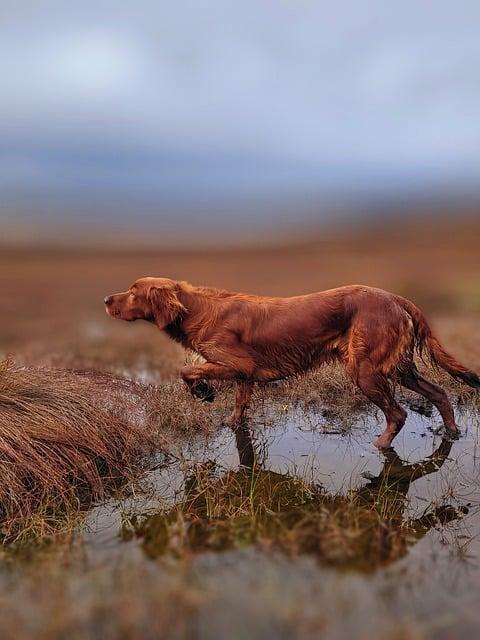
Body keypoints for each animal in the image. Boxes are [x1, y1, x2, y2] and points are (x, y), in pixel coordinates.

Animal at [103, 278, 478, 450]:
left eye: (134, 292)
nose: (106, 299)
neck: (198, 310)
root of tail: (396, 298)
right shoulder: (244, 375)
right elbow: (239, 406)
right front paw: (227, 416)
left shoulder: (236, 362)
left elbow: (187, 370)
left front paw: (203, 391)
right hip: (399, 368)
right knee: (439, 392)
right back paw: (452, 431)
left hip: (365, 370)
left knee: (397, 413)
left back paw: (381, 445)